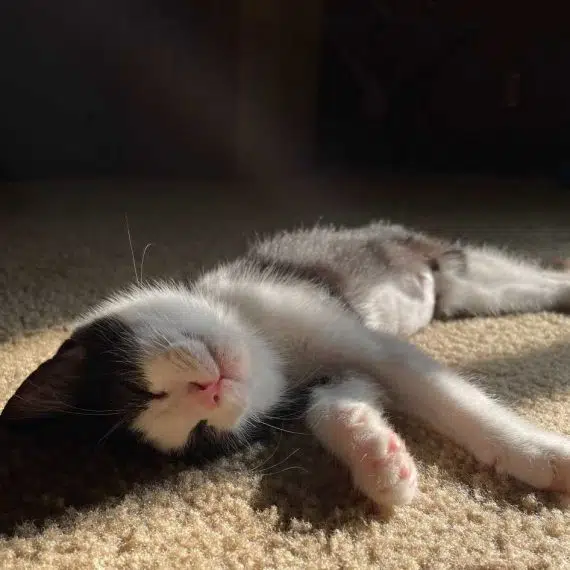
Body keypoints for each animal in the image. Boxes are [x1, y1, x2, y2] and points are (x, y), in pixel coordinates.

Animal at [3, 220, 570, 508]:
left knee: (493, 266)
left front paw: (540, 455)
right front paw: (378, 459)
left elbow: (455, 401)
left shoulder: (366, 341)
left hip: (420, 250)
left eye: (143, 390)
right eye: (202, 433)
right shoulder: (339, 372)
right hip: (463, 294)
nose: (210, 393)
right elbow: (331, 404)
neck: (267, 343)